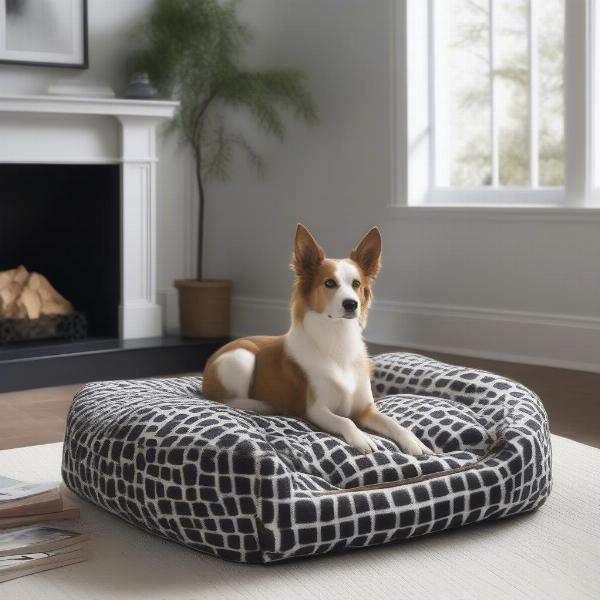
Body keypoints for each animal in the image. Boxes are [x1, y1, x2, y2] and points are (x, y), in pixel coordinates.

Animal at [204, 225, 434, 454]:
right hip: (241, 358)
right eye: (329, 283)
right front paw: (363, 438)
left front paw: (415, 442)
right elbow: (345, 421)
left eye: (356, 284)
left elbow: (395, 423)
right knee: (227, 400)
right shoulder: (316, 410)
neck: (338, 339)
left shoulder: (365, 409)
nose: (351, 304)